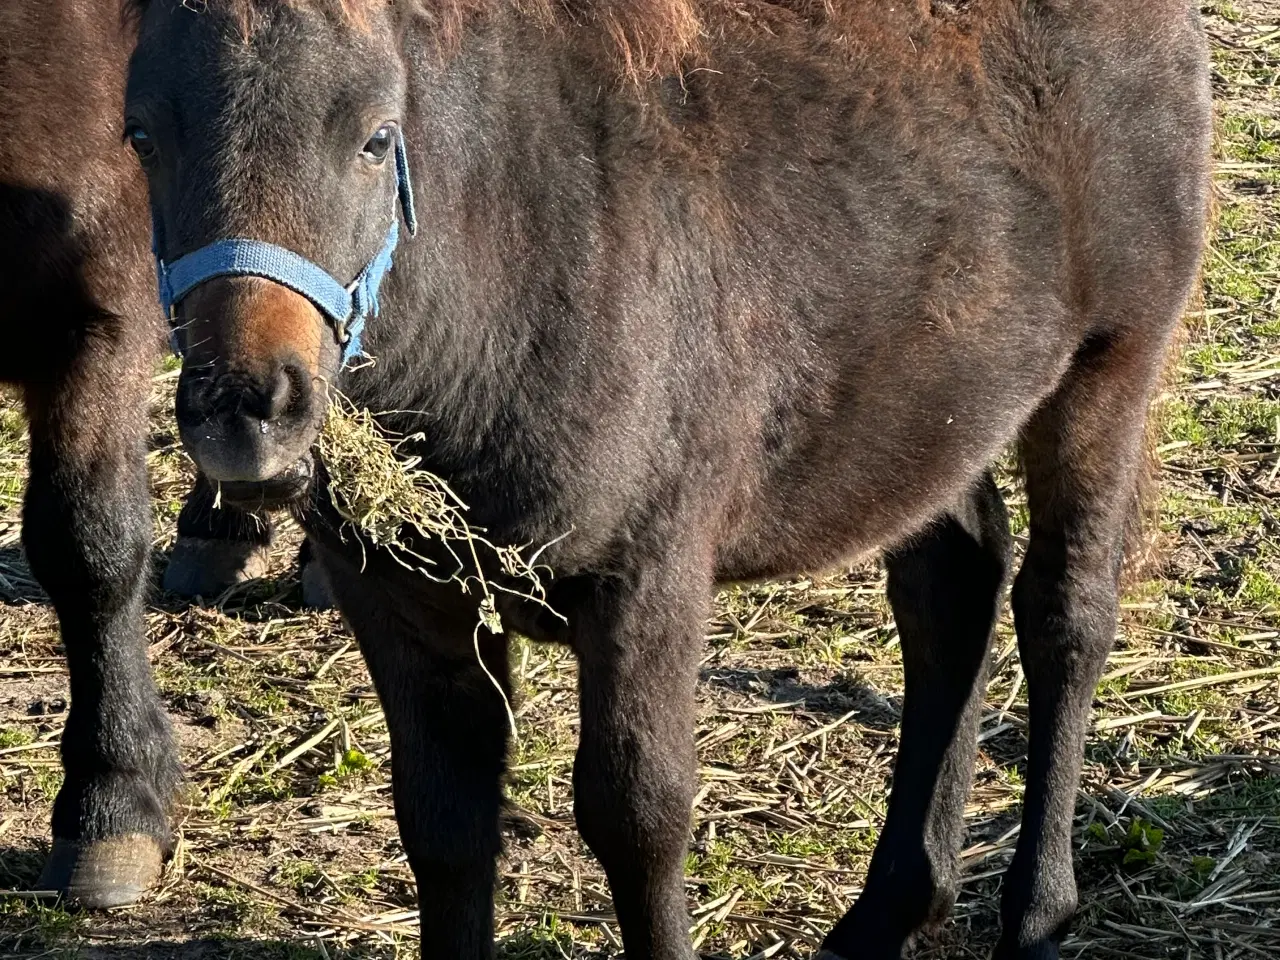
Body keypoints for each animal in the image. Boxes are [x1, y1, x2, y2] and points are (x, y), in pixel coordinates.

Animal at [124, 3, 1213, 957]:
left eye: (372, 137)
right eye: (141, 134)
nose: (246, 413)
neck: (520, 261)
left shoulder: (646, 584)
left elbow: (637, 817)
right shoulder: (400, 599)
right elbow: (444, 819)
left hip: (1107, 372)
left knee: (1065, 618)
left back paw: (1035, 914)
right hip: (929, 411)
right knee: (951, 593)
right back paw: (891, 911)